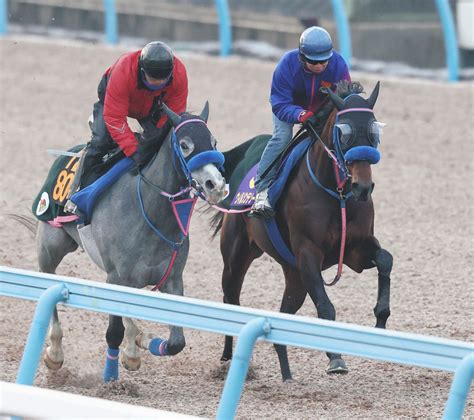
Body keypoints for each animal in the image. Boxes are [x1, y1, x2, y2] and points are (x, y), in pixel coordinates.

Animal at [19, 101, 226, 380]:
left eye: (213, 141)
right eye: (184, 144)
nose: (216, 185)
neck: (149, 213)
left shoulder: (172, 278)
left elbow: (176, 342)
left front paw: (142, 341)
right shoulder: (116, 277)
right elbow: (113, 333)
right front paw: (112, 375)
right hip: (51, 247)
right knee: (48, 282)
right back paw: (55, 353)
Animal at [213, 83, 394, 380]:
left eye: (374, 131)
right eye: (343, 133)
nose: (362, 187)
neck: (336, 194)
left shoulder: (355, 250)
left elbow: (385, 259)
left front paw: (380, 319)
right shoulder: (308, 253)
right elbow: (325, 307)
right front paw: (335, 358)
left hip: (294, 274)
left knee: (284, 313)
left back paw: (287, 376)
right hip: (238, 256)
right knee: (230, 297)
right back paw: (228, 357)